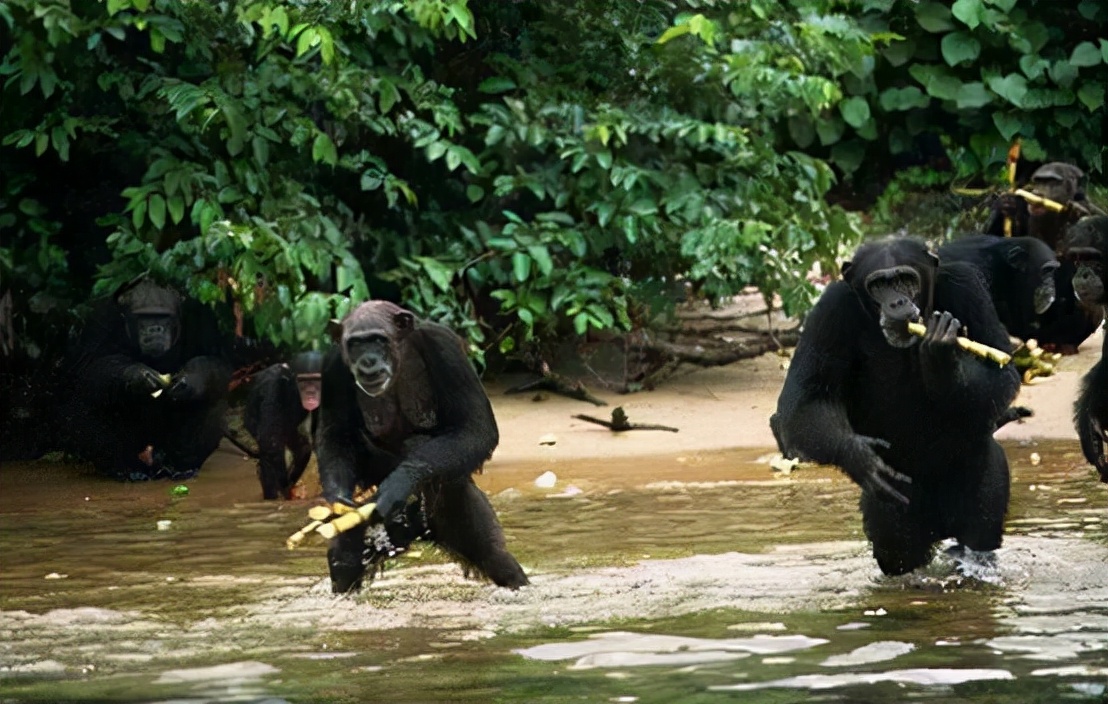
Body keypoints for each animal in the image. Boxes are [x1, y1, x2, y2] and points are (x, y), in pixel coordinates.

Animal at [57, 278, 231, 481]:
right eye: (144, 316)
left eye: (163, 316)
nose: (154, 328)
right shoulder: (100, 316)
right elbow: (90, 366)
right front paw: (138, 376)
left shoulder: (201, 313)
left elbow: (217, 358)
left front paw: (189, 382)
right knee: (86, 403)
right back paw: (126, 468)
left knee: (211, 398)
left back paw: (181, 466)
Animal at [243, 352, 323, 501]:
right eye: (303, 381)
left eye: (317, 380)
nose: (310, 392)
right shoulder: (274, 389)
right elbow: (270, 440)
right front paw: (282, 485)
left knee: (302, 447)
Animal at [312, 299, 527, 594]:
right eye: (355, 343)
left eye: (378, 340)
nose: (368, 360)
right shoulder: (333, 365)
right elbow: (336, 434)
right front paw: (338, 500)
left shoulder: (445, 347)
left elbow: (476, 427)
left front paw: (400, 483)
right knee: (344, 566)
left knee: (496, 559)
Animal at [771, 237, 1019, 576]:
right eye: (879, 285)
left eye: (905, 279)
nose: (898, 303)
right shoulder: (829, 309)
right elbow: (804, 399)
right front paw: (859, 456)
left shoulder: (967, 284)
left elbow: (1001, 369)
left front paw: (940, 355)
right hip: (894, 515)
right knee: (900, 554)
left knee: (978, 537)